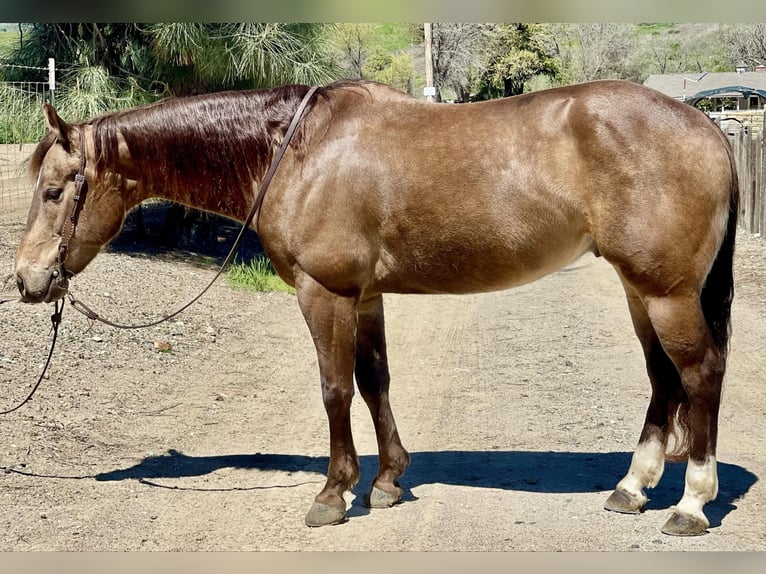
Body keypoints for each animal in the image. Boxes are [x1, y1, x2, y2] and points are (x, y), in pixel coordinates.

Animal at [15, 79, 740, 536]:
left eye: (53, 191)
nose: (26, 280)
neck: (295, 150)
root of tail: (707, 126)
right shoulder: (364, 296)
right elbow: (374, 382)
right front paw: (388, 481)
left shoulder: (324, 292)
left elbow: (335, 388)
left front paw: (334, 493)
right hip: (641, 291)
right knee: (663, 380)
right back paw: (632, 488)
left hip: (666, 293)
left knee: (700, 374)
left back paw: (691, 504)